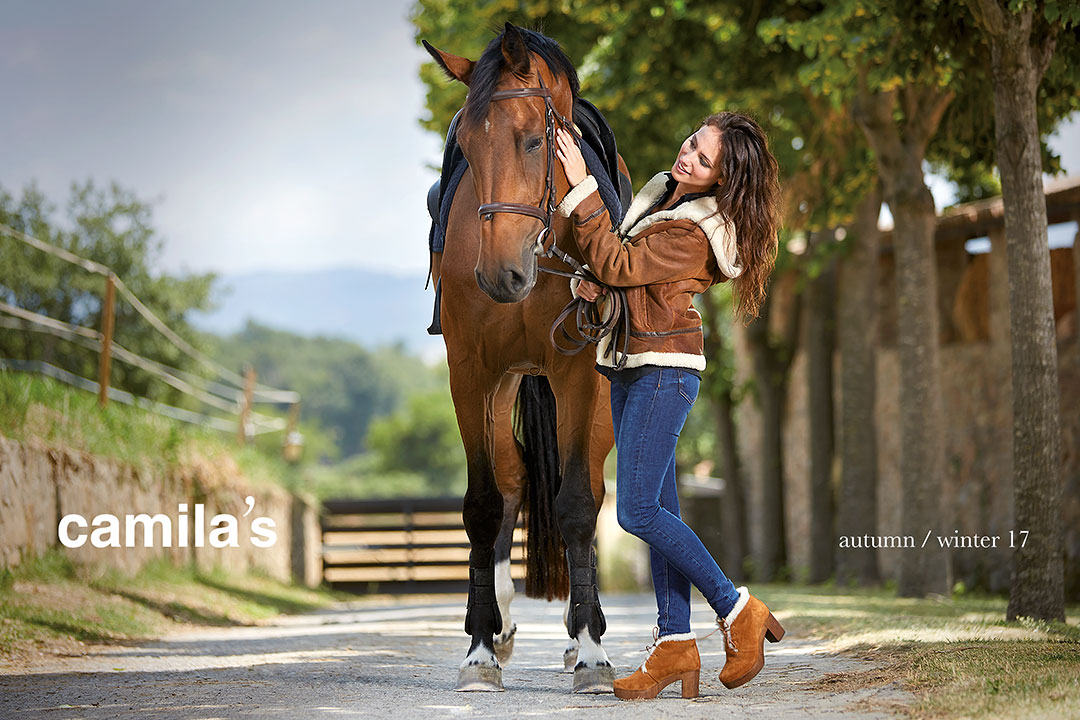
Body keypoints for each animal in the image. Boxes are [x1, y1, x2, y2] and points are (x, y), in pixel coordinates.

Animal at [421, 25, 626, 695]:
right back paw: (500, 623)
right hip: (508, 381)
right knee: (511, 482)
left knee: (585, 484)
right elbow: (485, 505)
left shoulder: (578, 375)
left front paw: (590, 651)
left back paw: (577, 630)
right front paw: (480, 650)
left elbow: (577, 503)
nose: (499, 275)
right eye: (463, 143)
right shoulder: (471, 374)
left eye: (535, 139)